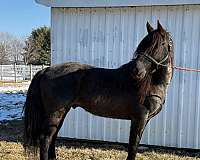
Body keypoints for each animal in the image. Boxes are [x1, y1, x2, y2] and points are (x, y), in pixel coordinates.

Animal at [23, 20, 173, 159]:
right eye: (143, 44)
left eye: (160, 44)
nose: (136, 70)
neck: (151, 83)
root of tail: (45, 70)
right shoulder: (139, 118)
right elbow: (133, 147)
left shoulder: (143, 120)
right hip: (55, 114)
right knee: (46, 139)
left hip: (61, 112)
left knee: (53, 137)